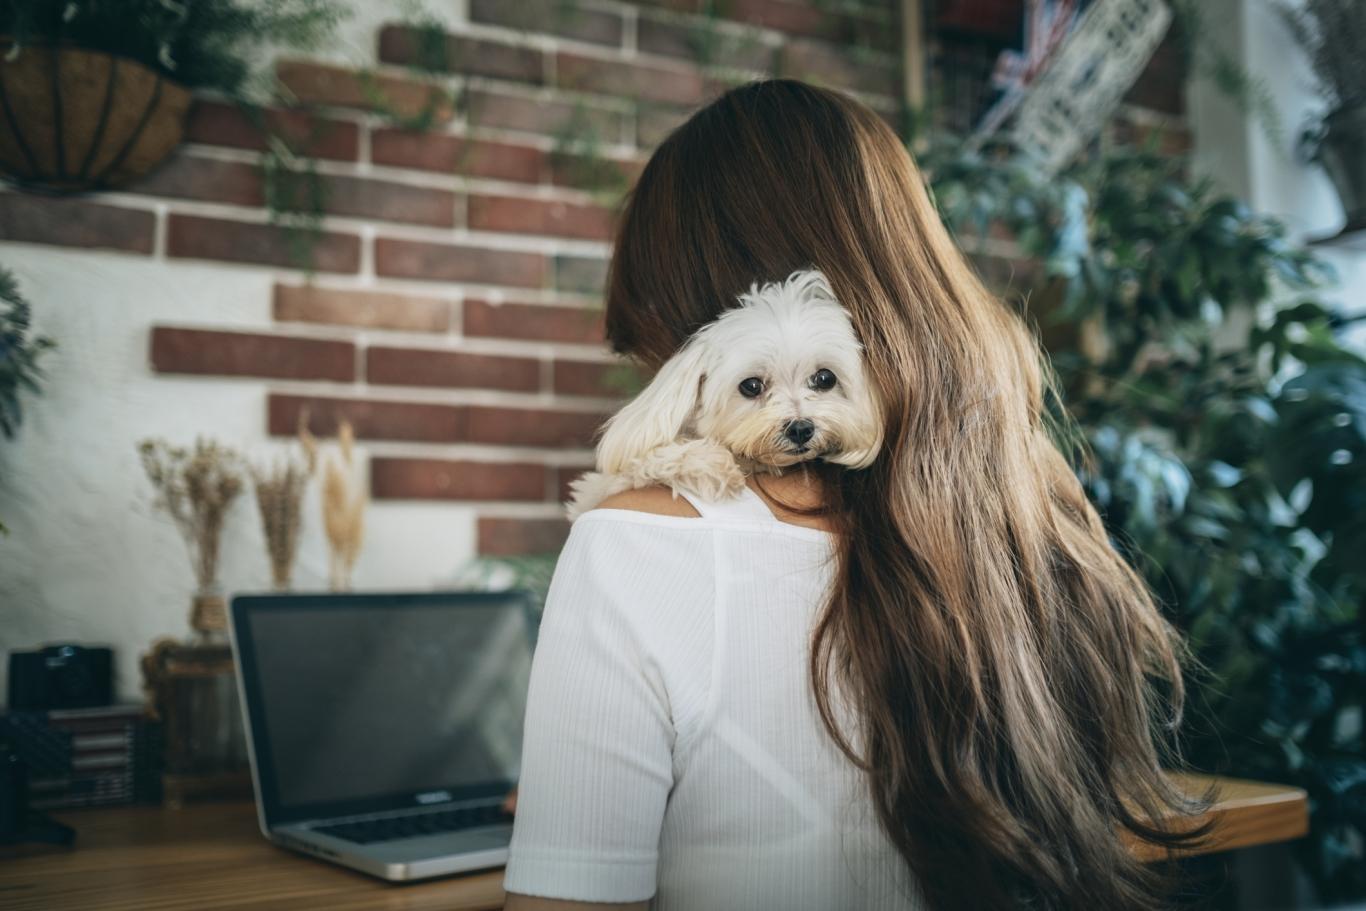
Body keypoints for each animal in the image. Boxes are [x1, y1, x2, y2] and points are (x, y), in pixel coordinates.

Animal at [565, 269, 885, 519]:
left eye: (825, 378)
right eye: (751, 386)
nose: (801, 429)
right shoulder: (597, 488)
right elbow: (639, 461)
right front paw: (710, 465)